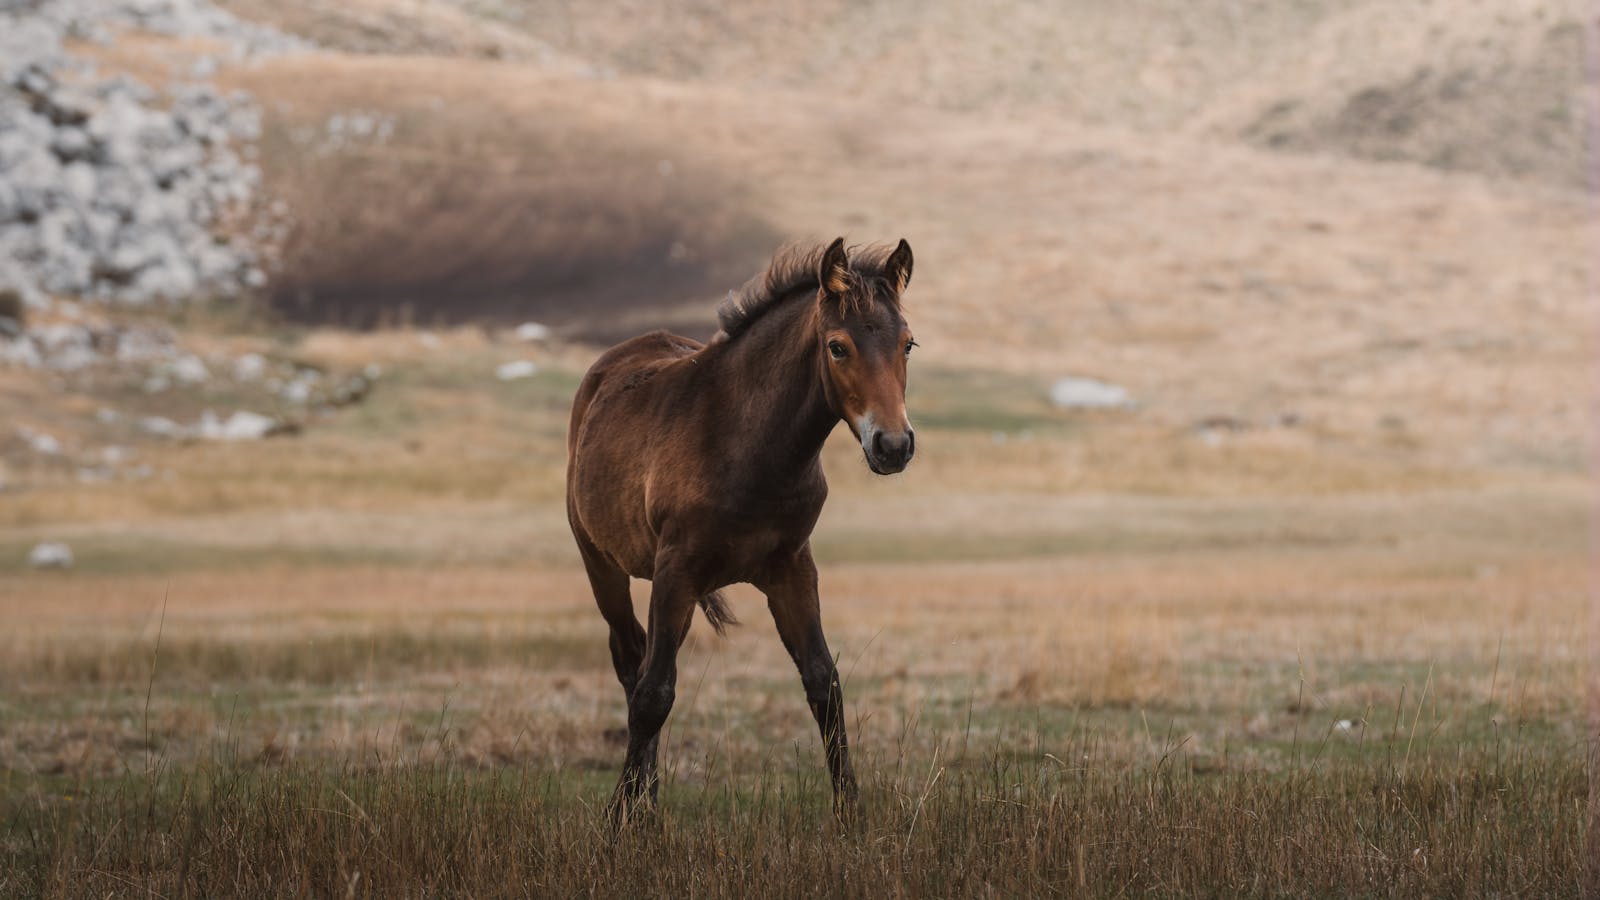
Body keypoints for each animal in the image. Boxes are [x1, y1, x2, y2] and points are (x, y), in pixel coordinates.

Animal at [566, 237, 921, 819]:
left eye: (908, 345)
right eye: (838, 347)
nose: (892, 446)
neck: (746, 443)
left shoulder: (792, 569)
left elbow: (824, 684)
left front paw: (851, 817)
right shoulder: (677, 571)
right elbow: (653, 696)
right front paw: (619, 819)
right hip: (602, 566)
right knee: (631, 661)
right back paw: (643, 803)